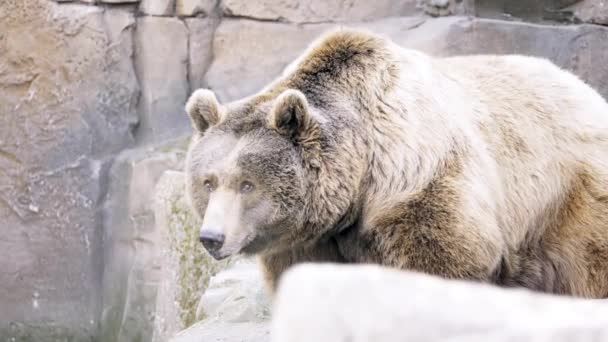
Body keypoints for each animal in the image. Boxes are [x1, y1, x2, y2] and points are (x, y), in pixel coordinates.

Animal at [184, 28, 608, 298]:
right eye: (208, 181)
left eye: (247, 183)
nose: (211, 238)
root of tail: (587, 91)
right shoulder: (311, 240)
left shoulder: (417, 181)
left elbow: (446, 260)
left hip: (567, 197)